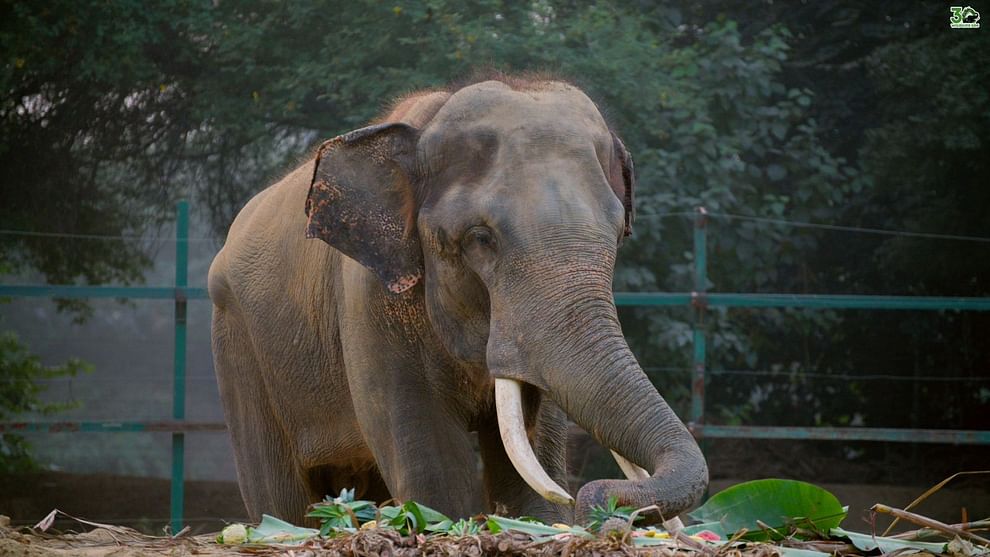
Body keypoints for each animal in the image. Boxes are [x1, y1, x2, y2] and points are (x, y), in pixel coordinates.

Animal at [209, 75, 708, 524]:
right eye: (480, 239)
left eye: (618, 233)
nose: (596, 501)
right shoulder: (367, 300)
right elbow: (432, 469)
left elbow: (527, 464)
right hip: (238, 344)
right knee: (282, 499)